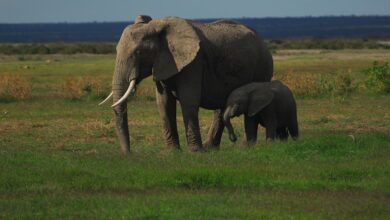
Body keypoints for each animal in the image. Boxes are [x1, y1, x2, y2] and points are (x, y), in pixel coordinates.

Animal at [99, 15, 272, 154]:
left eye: (138, 53)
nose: (128, 154)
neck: (156, 26)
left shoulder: (193, 63)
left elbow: (189, 100)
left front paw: (195, 152)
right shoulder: (163, 63)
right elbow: (163, 103)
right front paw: (172, 152)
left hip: (262, 67)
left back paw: (245, 147)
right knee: (222, 107)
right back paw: (211, 148)